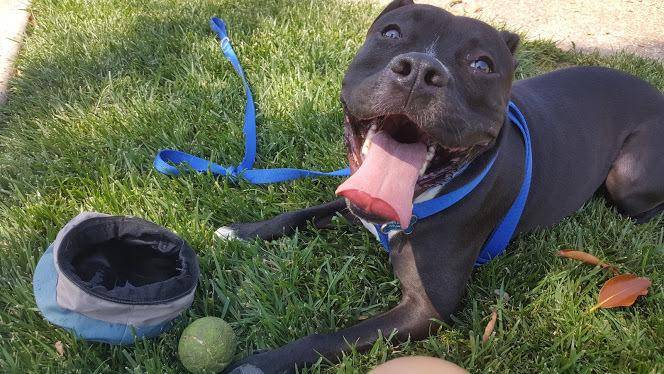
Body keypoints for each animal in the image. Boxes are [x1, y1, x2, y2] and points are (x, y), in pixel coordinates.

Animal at [219, 1, 664, 372]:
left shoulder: (425, 308)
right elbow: (300, 213)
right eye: (391, 33)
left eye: (482, 65)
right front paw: (240, 231)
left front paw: (259, 364)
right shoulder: (354, 202)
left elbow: (329, 338)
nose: (419, 70)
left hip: (627, 178)